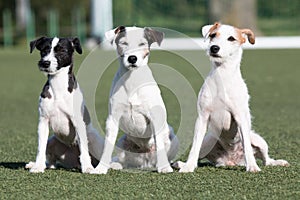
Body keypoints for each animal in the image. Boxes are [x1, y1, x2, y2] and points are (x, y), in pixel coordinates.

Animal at [26, 36, 105, 173]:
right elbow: (40, 148)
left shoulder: (78, 122)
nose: (45, 63)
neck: (58, 86)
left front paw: (87, 168)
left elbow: (84, 149)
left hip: (93, 139)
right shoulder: (43, 121)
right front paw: (38, 166)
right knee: (52, 163)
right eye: (44, 50)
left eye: (62, 51)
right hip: (52, 141)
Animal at [92, 26, 178, 173]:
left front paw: (164, 168)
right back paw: (116, 165)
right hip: (122, 141)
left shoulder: (155, 117)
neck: (132, 80)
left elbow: (160, 144)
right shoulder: (113, 118)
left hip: (172, 137)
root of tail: (146, 163)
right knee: (124, 161)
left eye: (142, 44)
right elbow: (107, 146)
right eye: (124, 43)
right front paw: (100, 168)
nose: (132, 58)